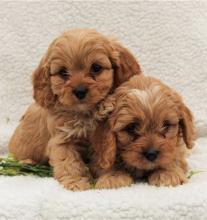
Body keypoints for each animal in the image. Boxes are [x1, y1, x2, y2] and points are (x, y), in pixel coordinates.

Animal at [8, 28, 141, 191]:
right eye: (63, 72)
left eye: (96, 68)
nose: (80, 91)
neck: (84, 113)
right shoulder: (62, 140)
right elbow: (69, 162)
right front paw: (75, 181)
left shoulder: (102, 139)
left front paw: (113, 177)